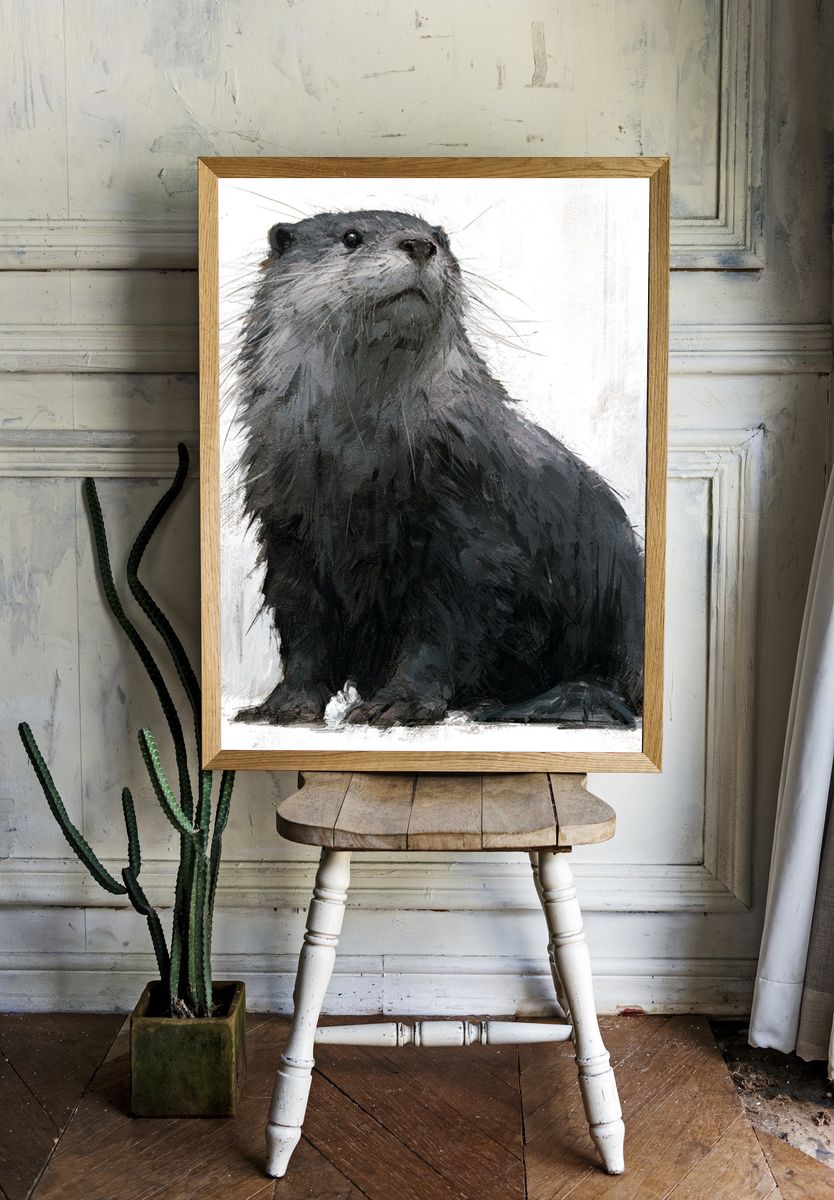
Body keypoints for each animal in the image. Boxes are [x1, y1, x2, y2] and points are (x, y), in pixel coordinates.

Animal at [233, 209, 644, 728]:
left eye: (442, 239)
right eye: (351, 237)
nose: (420, 245)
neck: (361, 473)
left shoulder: (470, 523)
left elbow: (443, 624)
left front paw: (398, 702)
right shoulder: (288, 527)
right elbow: (302, 623)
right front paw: (286, 704)